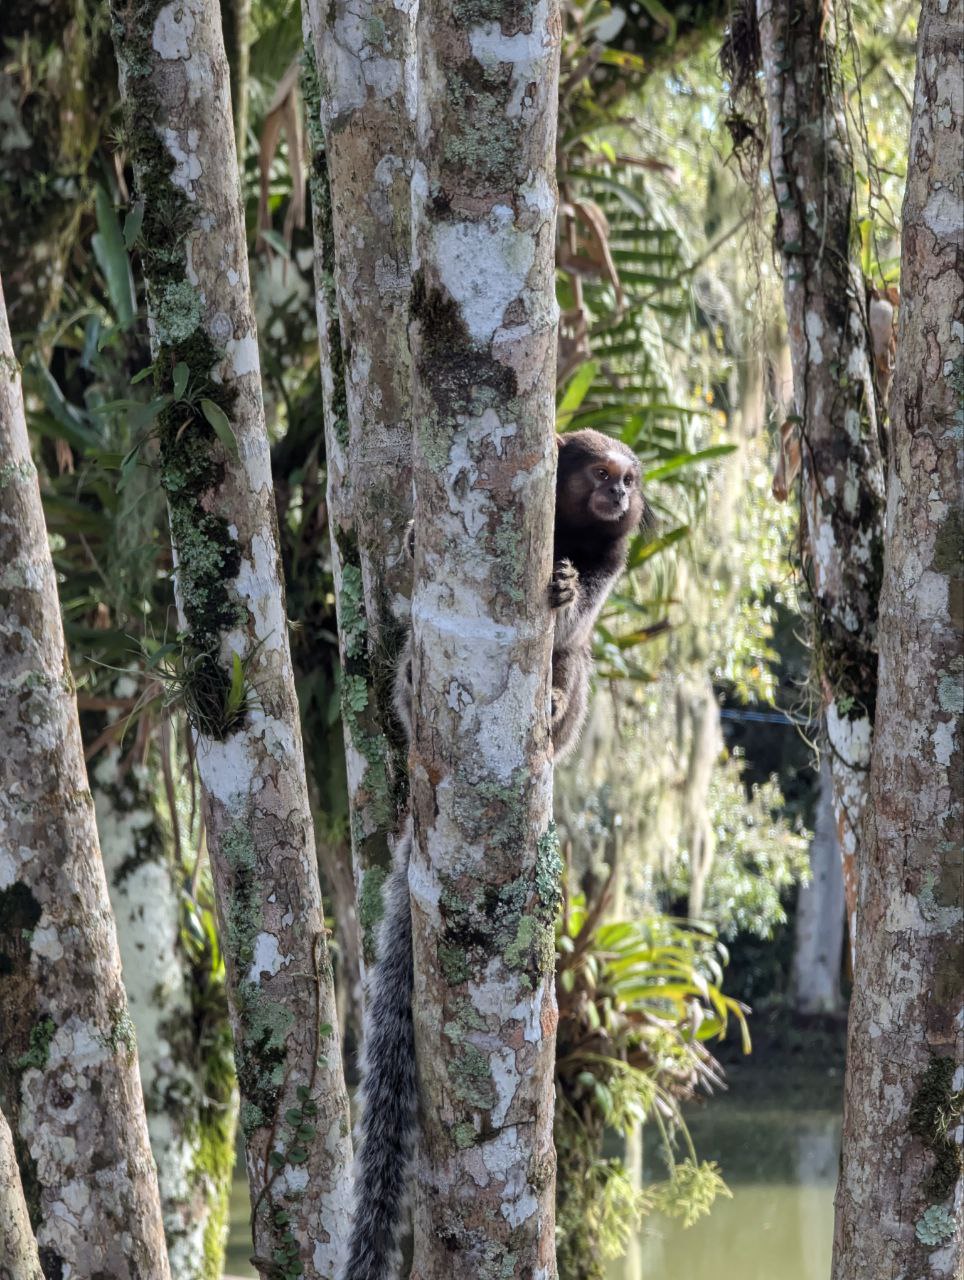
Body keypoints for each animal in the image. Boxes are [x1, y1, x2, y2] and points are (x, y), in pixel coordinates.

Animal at [340, 429, 646, 1280]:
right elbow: (411, 590)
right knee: (411, 663)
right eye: (600, 472)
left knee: (574, 670)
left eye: (629, 479)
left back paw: (553, 704)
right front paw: (416, 540)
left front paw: (567, 593)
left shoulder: (611, 561)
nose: (620, 491)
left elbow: (578, 626)